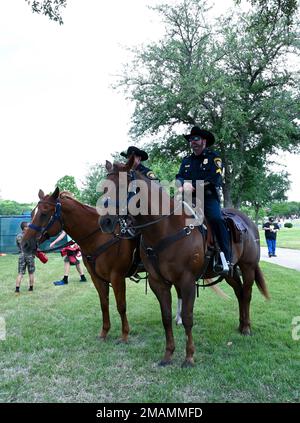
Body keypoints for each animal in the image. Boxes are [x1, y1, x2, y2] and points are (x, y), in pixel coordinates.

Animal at [21, 187, 138, 342]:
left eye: (44, 213)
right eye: (32, 213)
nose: (24, 244)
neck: (100, 236)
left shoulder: (117, 277)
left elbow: (121, 306)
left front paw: (124, 334)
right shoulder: (97, 277)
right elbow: (104, 303)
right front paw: (104, 332)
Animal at [105, 159, 270, 368]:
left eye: (121, 187)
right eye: (104, 188)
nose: (105, 222)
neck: (164, 229)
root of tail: (248, 222)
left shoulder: (187, 281)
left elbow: (188, 318)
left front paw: (189, 357)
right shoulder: (158, 283)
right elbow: (166, 317)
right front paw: (168, 355)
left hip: (248, 267)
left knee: (247, 294)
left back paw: (247, 328)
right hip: (229, 273)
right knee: (239, 293)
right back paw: (241, 325)